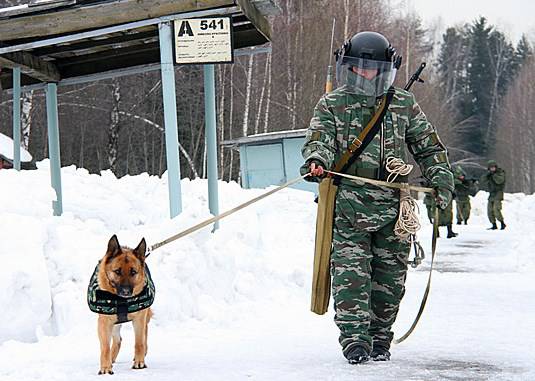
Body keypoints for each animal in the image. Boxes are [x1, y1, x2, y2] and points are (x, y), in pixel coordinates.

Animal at [97, 235, 153, 374]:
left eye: (133, 272)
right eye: (117, 271)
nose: (126, 292)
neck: (121, 301)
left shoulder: (139, 318)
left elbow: (139, 343)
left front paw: (139, 362)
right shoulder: (104, 322)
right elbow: (105, 347)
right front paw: (105, 368)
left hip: (144, 317)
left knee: (144, 334)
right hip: (113, 324)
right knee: (118, 340)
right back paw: (111, 359)